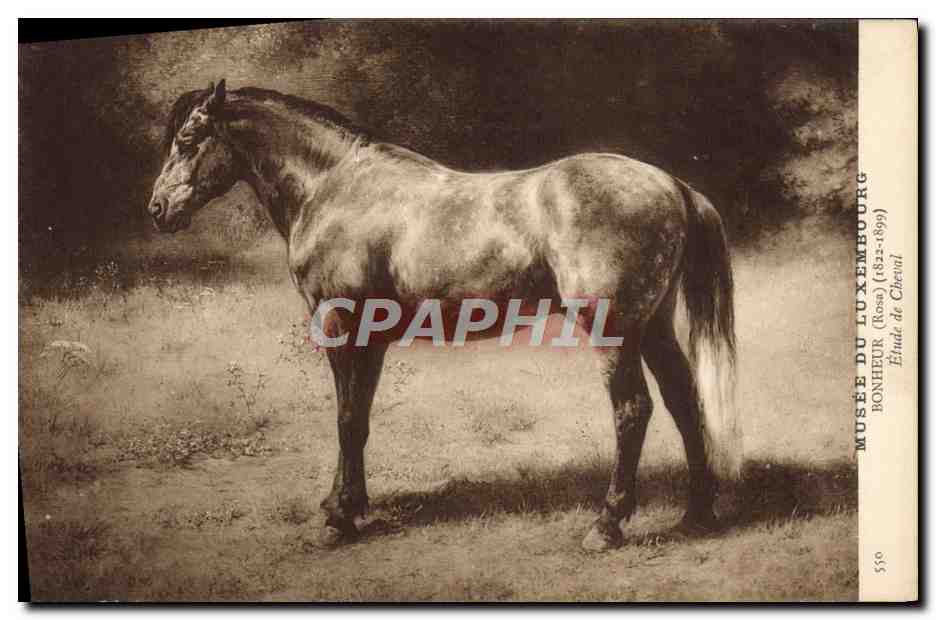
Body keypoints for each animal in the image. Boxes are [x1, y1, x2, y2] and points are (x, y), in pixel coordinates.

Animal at [148, 80, 740, 552]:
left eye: (188, 140)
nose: (158, 209)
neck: (335, 187)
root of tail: (673, 186)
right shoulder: (372, 338)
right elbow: (359, 419)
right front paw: (350, 505)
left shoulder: (341, 324)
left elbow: (344, 417)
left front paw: (337, 520)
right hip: (653, 326)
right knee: (684, 400)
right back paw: (697, 513)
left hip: (613, 330)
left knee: (633, 411)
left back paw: (607, 525)